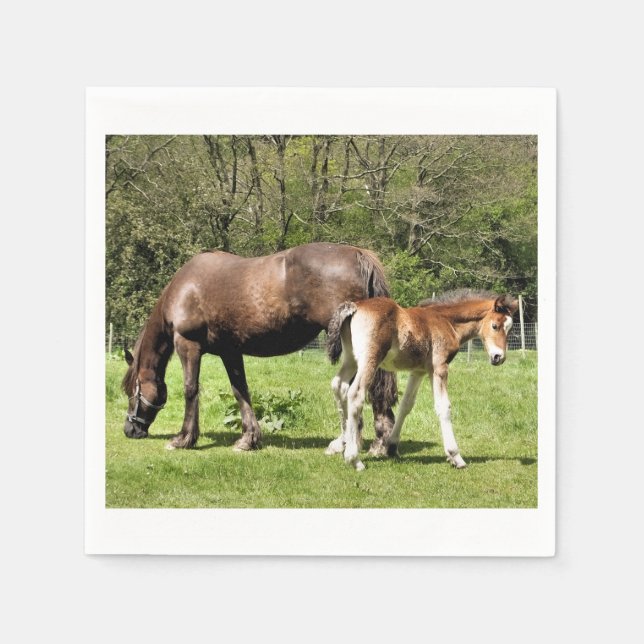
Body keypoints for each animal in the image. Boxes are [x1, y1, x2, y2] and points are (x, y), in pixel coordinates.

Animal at [122, 242, 398, 454]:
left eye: (132, 392)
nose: (130, 429)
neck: (184, 289)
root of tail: (358, 254)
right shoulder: (230, 352)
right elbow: (240, 391)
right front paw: (248, 439)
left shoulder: (188, 345)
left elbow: (190, 390)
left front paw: (183, 439)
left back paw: (368, 443)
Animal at [325, 290, 519, 471]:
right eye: (495, 326)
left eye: (509, 329)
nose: (499, 357)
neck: (447, 321)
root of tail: (355, 306)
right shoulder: (439, 367)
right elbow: (444, 407)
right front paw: (455, 456)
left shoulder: (418, 371)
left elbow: (406, 405)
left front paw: (391, 447)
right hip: (369, 360)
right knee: (355, 394)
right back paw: (353, 458)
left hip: (351, 359)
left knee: (339, 386)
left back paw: (343, 444)